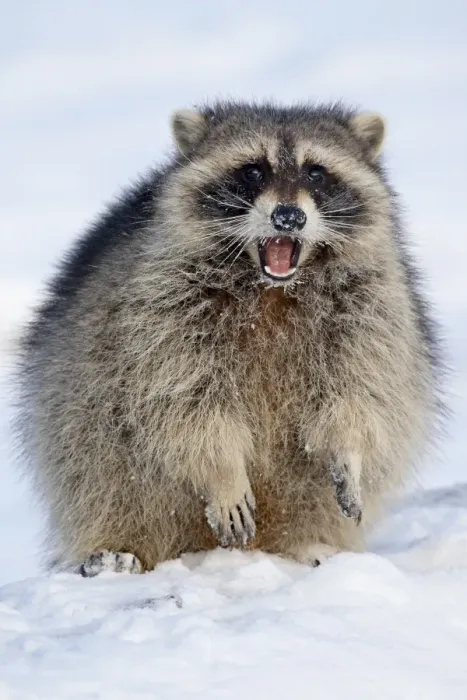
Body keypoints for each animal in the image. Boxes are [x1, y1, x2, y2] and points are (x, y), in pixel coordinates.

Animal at [16, 102, 441, 575]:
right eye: (253, 170)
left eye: (316, 172)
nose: (288, 217)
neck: (273, 288)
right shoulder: (160, 311)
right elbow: (184, 403)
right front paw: (222, 473)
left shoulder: (371, 310)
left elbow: (361, 390)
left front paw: (348, 450)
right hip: (78, 418)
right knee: (103, 474)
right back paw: (116, 549)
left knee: (312, 496)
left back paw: (307, 543)